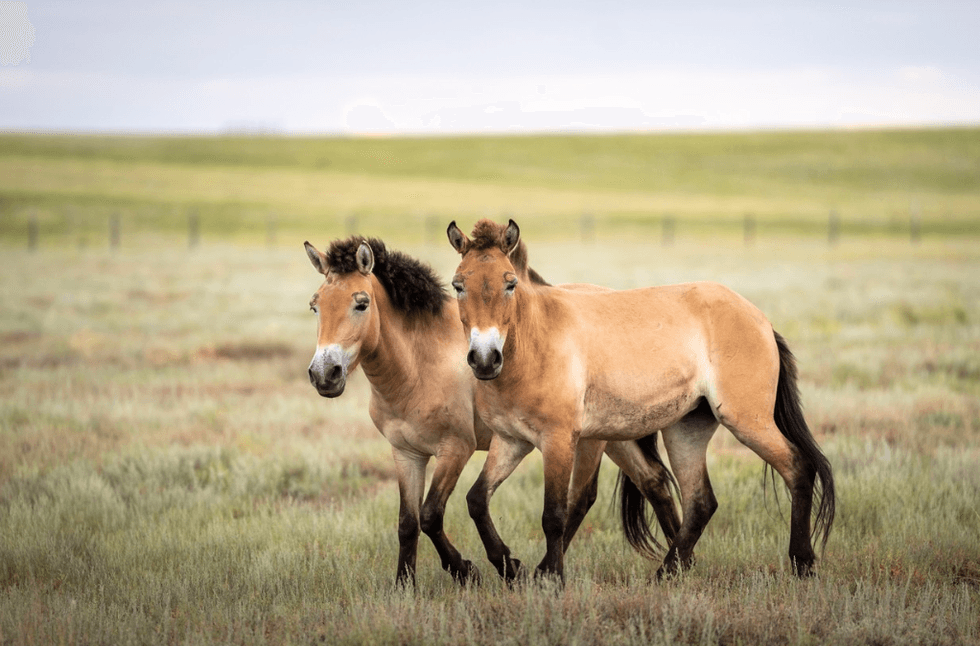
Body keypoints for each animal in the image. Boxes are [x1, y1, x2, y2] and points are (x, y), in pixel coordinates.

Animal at [304, 236, 681, 586]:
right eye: (315, 307)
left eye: (361, 304)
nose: (325, 374)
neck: (419, 364)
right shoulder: (406, 454)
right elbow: (407, 523)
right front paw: (404, 586)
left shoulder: (455, 449)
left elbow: (430, 515)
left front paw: (473, 570)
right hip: (615, 433)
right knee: (654, 482)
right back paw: (678, 562)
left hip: (591, 440)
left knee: (585, 497)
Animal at [446, 218, 836, 582]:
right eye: (458, 285)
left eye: (510, 283)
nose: (485, 358)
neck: (535, 344)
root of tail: (760, 320)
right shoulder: (512, 441)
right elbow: (476, 500)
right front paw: (509, 566)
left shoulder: (559, 441)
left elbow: (556, 512)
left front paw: (549, 576)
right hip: (686, 431)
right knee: (700, 502)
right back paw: (667, 571)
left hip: (747, 421)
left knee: (798, 467)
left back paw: (802, 562)